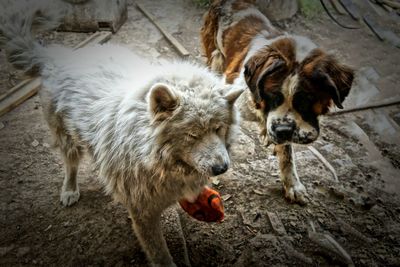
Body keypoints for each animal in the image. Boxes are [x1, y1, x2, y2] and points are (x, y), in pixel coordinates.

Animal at [202, 0, 354, 205]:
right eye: (272, 96)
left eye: (305, 101)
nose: (282, 131)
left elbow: (287, 154)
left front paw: (292, 185)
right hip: (215, 54)